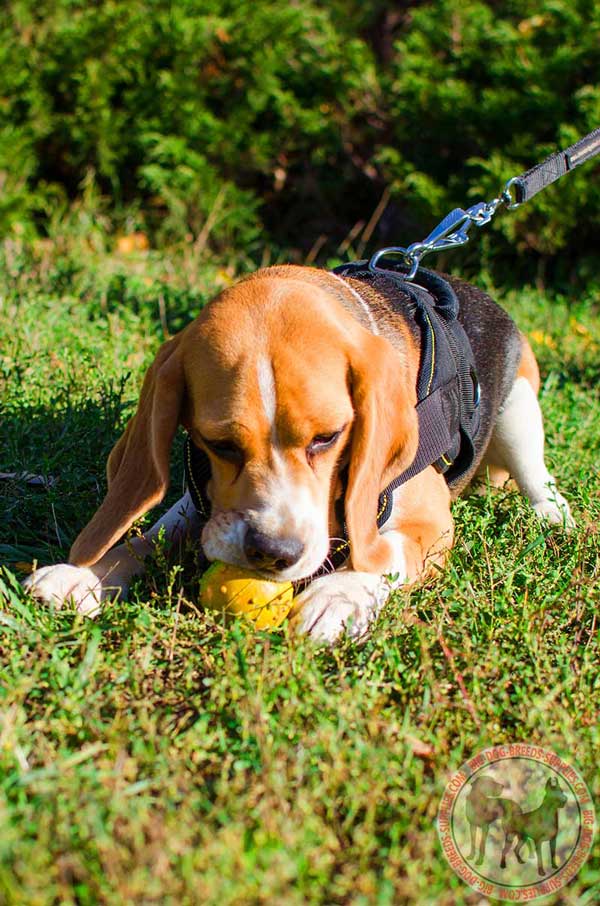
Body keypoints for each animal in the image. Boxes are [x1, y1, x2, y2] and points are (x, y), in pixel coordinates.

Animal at [23, 264, 576, 640]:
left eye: (327, 437)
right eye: (217, 443)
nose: (273, 553)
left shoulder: (432, 524)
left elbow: (384, 550)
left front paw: (339, 595)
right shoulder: (198, 499)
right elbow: (147, 538)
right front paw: (84, 576)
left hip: (519, 408)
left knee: (540, 479)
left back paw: (554, 517)